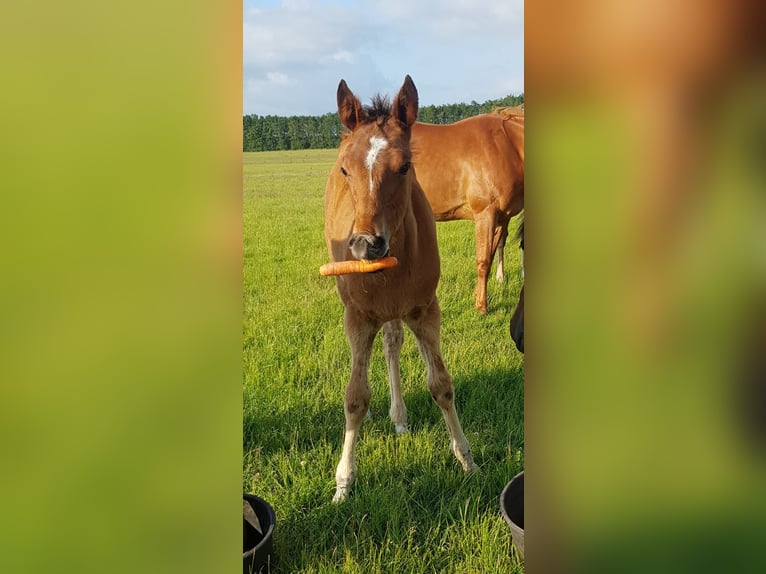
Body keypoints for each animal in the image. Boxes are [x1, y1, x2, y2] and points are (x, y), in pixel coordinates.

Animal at [326, 75, 480, 504]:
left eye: (406, 166)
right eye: (345, 169)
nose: (366, 244)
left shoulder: (425, 310)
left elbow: (441, 386)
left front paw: (468, 462)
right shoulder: (358, 318)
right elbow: (355, 398)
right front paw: (343, 484)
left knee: (393, 342)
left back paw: (399, 417)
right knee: (389, 343)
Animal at [412, 108, 524, 316]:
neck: (508, 143)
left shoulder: (501, 218)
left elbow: (492, 255)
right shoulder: (485, 214)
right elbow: (483, 261)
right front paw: (482, 307)